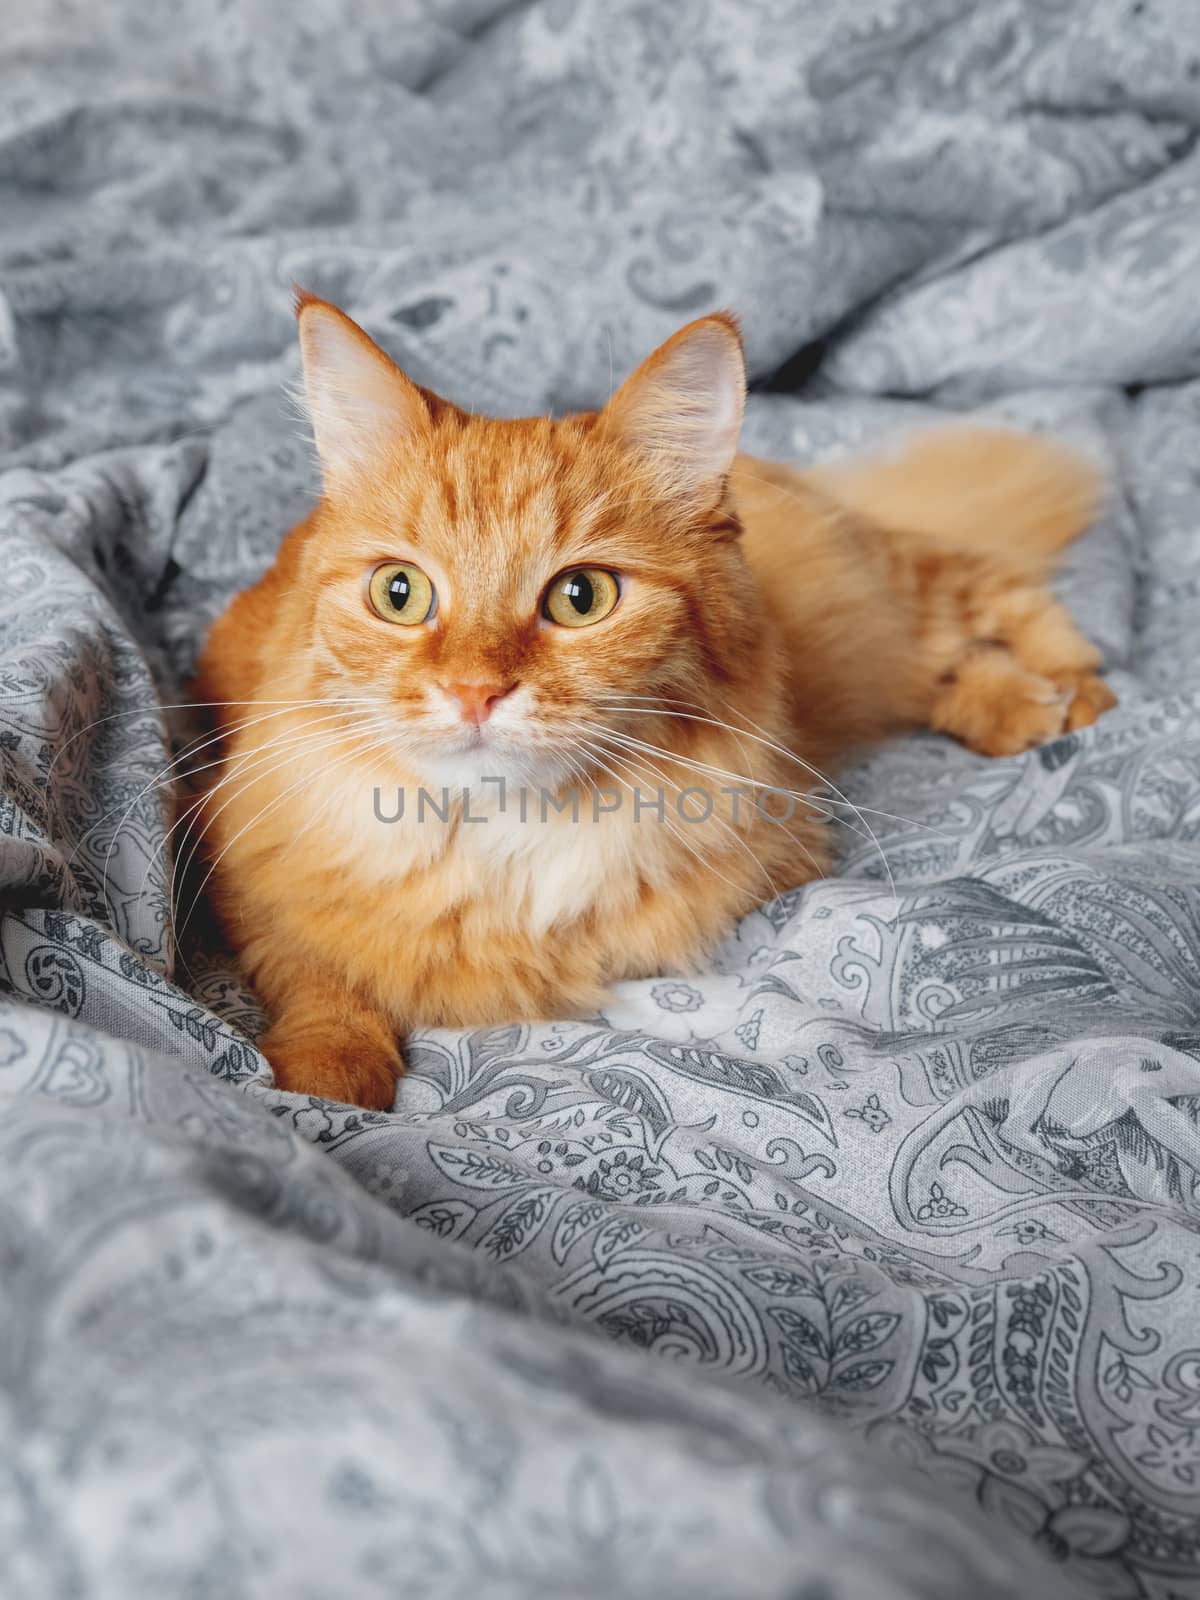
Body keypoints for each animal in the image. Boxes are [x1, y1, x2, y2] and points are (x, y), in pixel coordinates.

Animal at [192, 294, 1126, 1107]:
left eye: (581, 599)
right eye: (399, 594)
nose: (474, 692)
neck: (506, 847)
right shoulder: (245, 872)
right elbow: (318, 975)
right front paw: (327, 1077)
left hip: (893, 597)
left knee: (989, 595)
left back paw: (1068, 699)